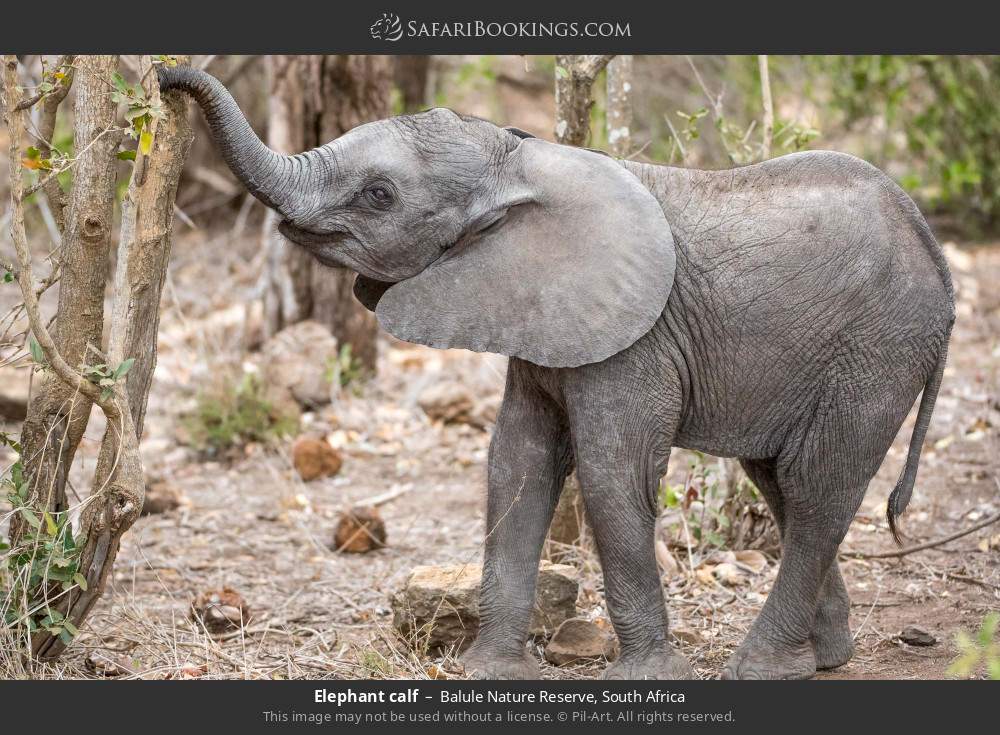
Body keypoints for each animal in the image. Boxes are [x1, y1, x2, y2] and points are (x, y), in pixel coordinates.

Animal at [159, 66, 955, 680]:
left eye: (380, 195)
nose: (166, 78)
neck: (516, 158)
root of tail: (934, 249)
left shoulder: (635, 340)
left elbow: (610, 475)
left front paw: (644, 677)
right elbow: (517, 461)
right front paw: (489, 670)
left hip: (879, 348)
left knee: (817, 488)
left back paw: (759, 667)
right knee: (781, 481)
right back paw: (821, 660)